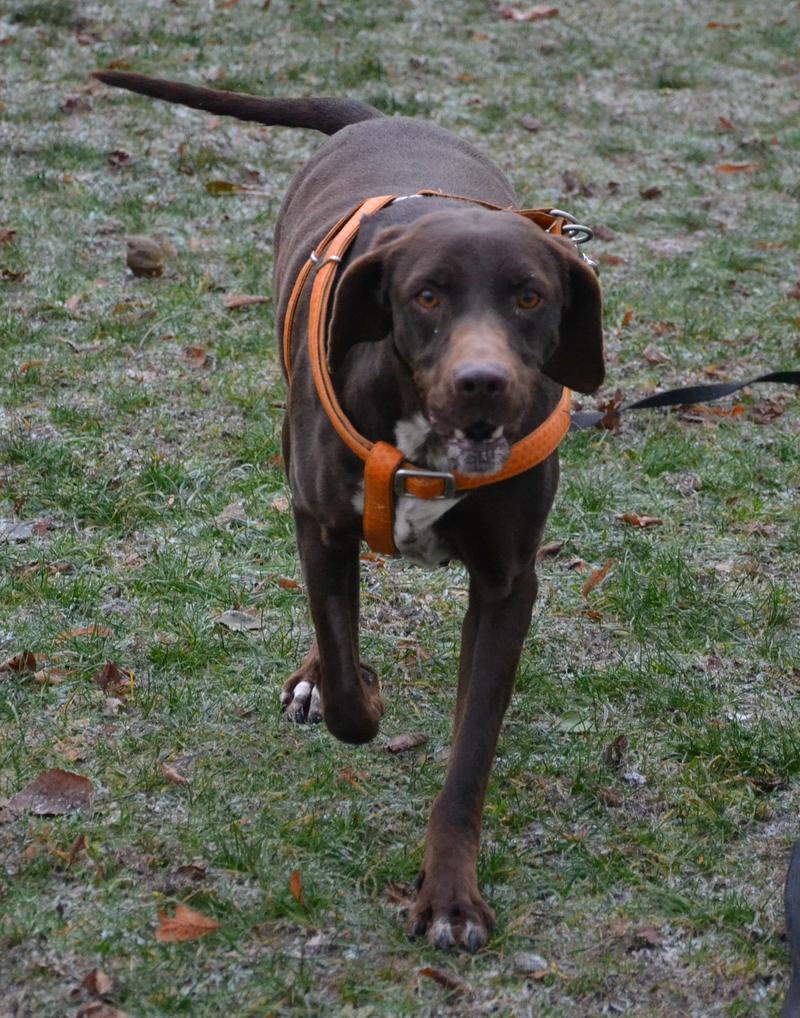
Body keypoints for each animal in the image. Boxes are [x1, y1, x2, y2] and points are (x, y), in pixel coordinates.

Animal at [93, 71, 602, 952]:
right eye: (426, 296)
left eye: (530, 297)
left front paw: (450, 895)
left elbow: (470, 752)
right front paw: (352, 691)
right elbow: (342, 681)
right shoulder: (321, 522)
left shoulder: (508, 583)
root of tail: (378, 117)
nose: (482, 384)